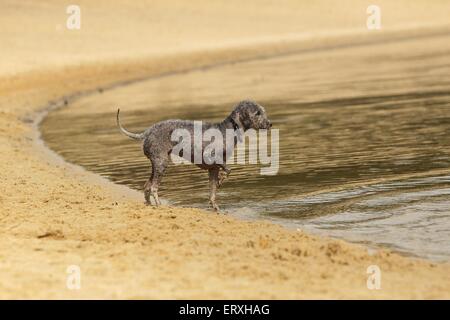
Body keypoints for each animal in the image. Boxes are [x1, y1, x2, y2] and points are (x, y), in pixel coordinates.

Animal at [116, 100, 270, 210]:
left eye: (263, 111)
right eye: (257, 113)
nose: (270, 123)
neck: (227, 130)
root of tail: (146, 133)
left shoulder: (213, 169)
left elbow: (212, 192)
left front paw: (215, 207)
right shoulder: (211, 158)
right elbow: (228, 170)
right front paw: (221, 180)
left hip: (156, 163)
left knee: (147, 185)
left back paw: (149, 205)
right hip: (161, 162)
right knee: (153, 187)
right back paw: (159, 205)